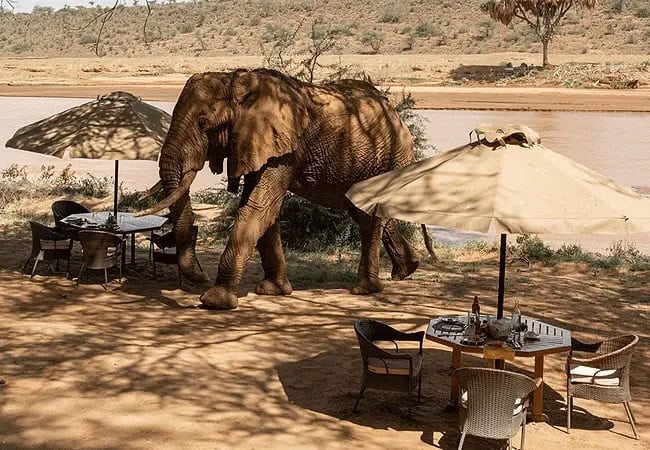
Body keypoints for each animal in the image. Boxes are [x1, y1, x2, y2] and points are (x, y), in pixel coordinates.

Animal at [140, 68, 421, 309]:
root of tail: (396, 114)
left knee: (369, 217)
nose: (200, 275)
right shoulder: (257, 144)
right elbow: (264, 210)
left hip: (387, 159)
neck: (238, 81)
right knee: (366, 214)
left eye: (202, 122)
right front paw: (273, 291)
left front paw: (214, 301)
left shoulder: (283, 149)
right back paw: (407, 270)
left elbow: (258, 206)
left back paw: (365, 289)